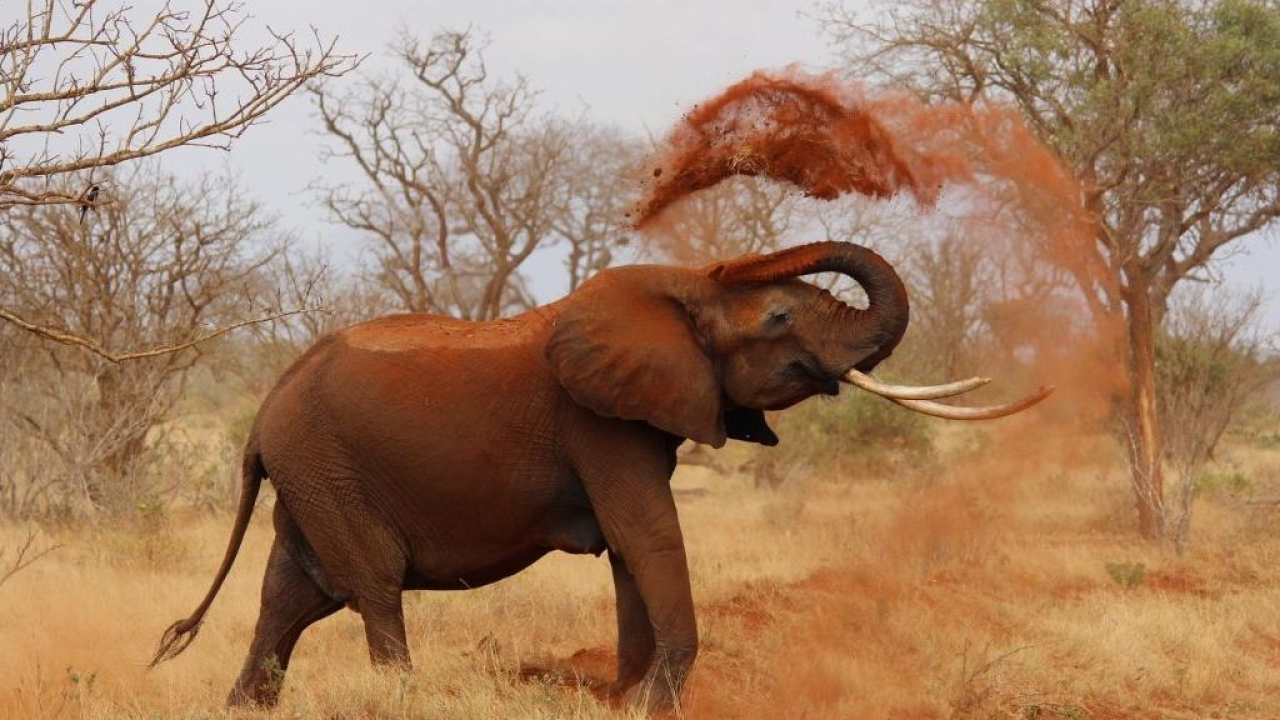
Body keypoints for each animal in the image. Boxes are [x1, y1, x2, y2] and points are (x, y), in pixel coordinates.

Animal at [150, 241, 1048, 714]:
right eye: (781, 317)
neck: (681, 290)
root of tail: (264, 412)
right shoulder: (599, 422)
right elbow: (646, 535)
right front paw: (654, 704)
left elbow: (629, 550)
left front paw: (624, 699)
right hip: (327, 468)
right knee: (370, 588)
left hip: (311, 475)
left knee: (290, 598)